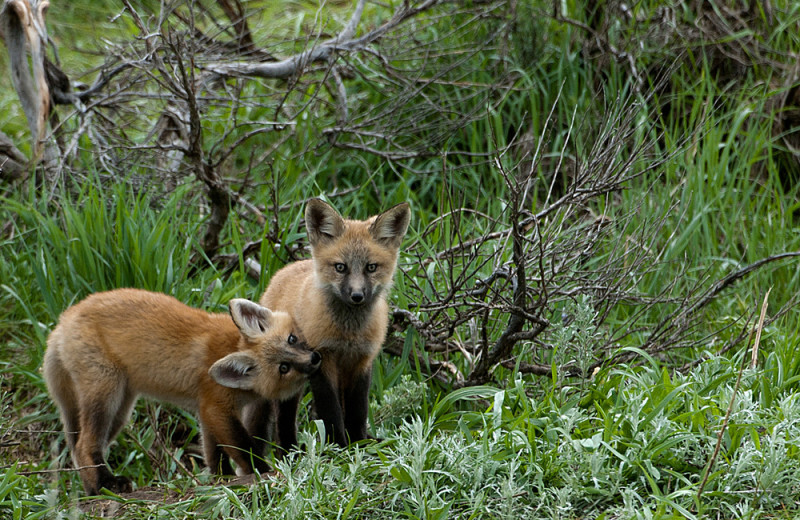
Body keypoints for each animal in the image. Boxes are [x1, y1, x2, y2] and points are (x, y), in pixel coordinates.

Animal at [42, 288, 320, 496]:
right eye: (284, 368)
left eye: (292, 339)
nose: (315, 359)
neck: (232, 346)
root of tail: (62, 322)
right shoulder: (215, 407)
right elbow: (243, 448)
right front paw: (261, 471)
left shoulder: (206, 410)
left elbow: (214, 454)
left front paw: (222, 479)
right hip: (106, 397)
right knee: (83, 446)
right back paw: (107, 484)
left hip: (120, 411)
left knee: (80, 449)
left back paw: (94, 490)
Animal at [260, 197, 412, 448]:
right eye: (341, 267)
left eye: (371, 267)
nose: (357, 296)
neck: (348, 335)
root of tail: (283, 271)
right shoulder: (322, 360)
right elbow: (330, 411)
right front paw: (338, 446)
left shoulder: (363, 360)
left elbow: (357, 410)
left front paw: (359, 442)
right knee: (284, 419)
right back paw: (290, 450)